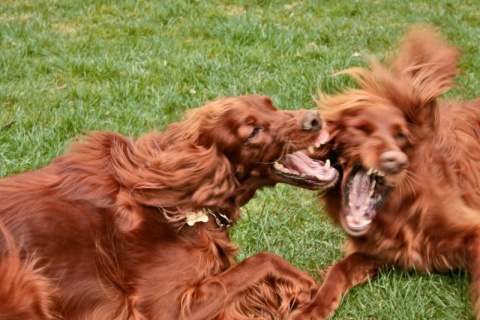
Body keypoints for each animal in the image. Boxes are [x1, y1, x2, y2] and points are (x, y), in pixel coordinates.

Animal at [0, 95, 338, 320]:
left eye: (271, 105)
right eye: (253, 131)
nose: (314, 119)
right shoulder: (164, 307)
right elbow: (263, 260)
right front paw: (311, 292)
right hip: (26, 279)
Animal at [298, 26, 480, 318]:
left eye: (401, 135)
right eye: (361, 128)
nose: (395, 160)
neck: (401, 210)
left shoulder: (473, 231)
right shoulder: (379, 252)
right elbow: (338, 270)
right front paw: (313, 307)